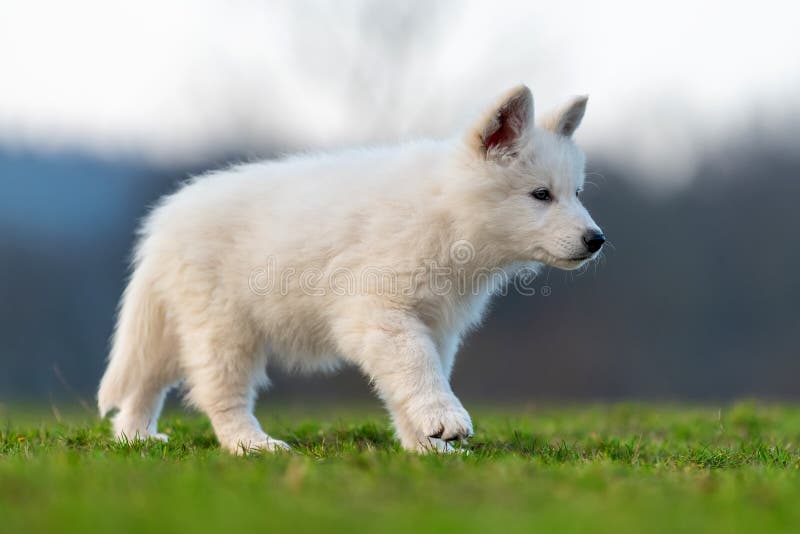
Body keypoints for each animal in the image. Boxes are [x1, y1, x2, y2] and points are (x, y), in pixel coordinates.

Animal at [97, 86, 604, 454]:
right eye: (541, 195)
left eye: (577, 193)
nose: (596, 240)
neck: (447, 214)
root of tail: (164, 222)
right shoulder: (380, 312)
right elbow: (418, 368)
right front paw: (444, 420)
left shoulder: (434, 324)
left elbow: (411, 378)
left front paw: (427, 446)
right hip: (224, 327)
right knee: (218, 395)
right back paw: (252, 445)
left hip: (178, 326)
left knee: (144, 382)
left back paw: (134, 437)